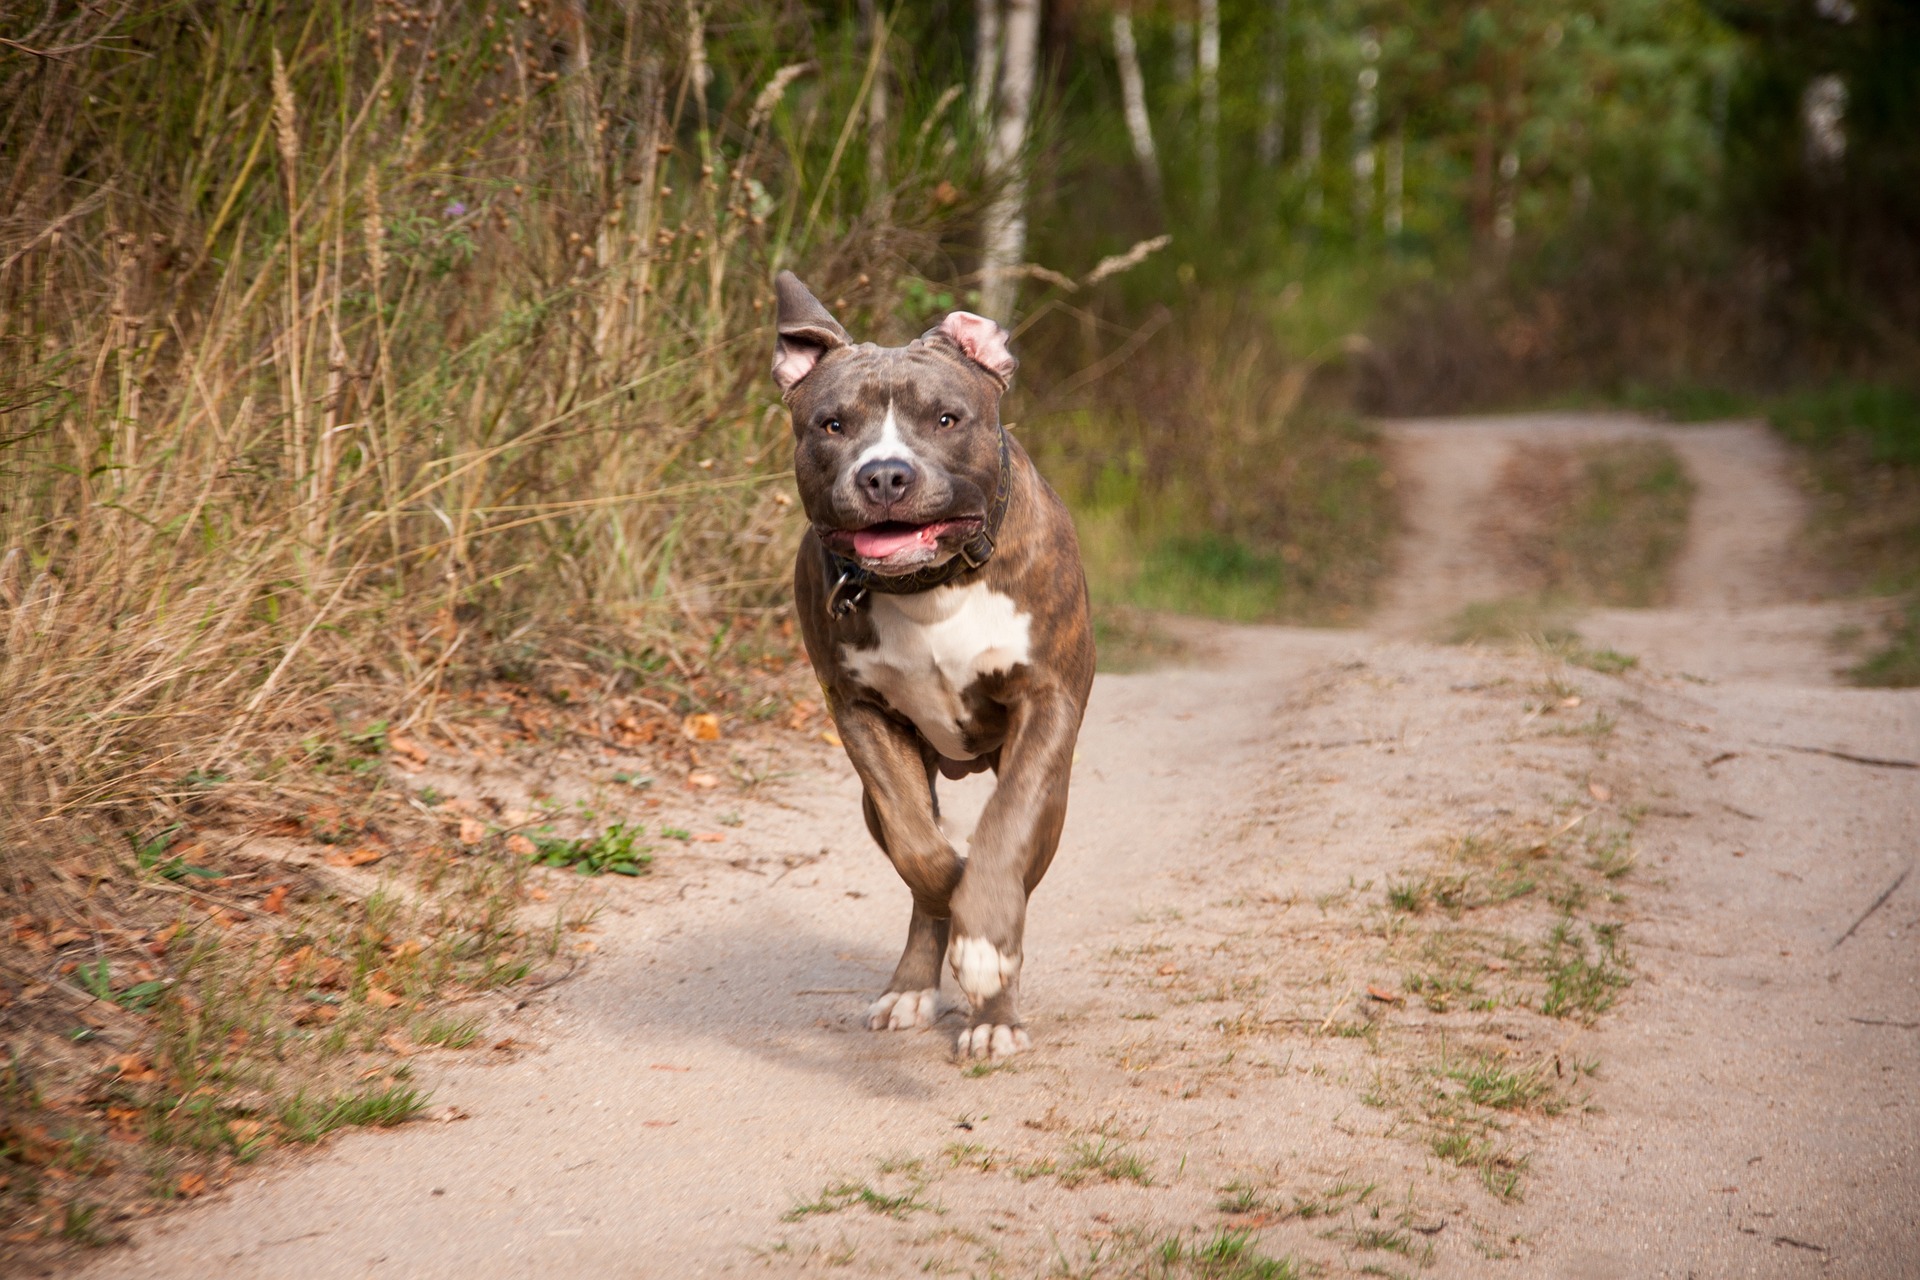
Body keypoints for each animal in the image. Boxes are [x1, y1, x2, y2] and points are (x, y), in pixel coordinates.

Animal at [768, 270, 1098, 1059]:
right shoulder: (860, 714)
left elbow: (1004, 834)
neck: (931, 586)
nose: (885, 474)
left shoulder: (1046, 703)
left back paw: (994, 1012)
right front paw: (953, 897)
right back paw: (915, 984)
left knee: (1017, 851)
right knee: (917, 859)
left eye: (947, 419)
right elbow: (921, 851)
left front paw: (987, 950)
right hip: (875, 794)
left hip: (1056, 793)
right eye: (832, 425)